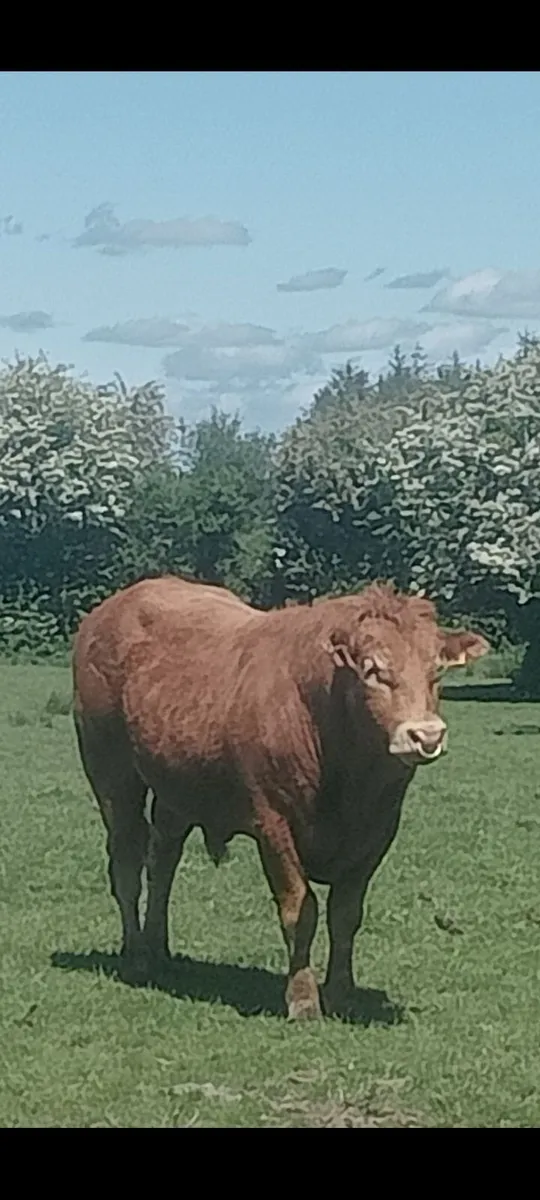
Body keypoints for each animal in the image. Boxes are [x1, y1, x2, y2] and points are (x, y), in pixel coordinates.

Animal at [72, 575, 489, 1020]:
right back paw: (136, 955)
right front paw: (303, 999)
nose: (426, 735)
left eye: (436, 671)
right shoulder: (273, 823)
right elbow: (300, 910)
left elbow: (345, 915)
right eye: (373, 670)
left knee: (162, 862)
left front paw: (341, 992)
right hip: (111, 774)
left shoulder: (378, 831)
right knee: (127, 862)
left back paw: (158, 948)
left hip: (176, 787)